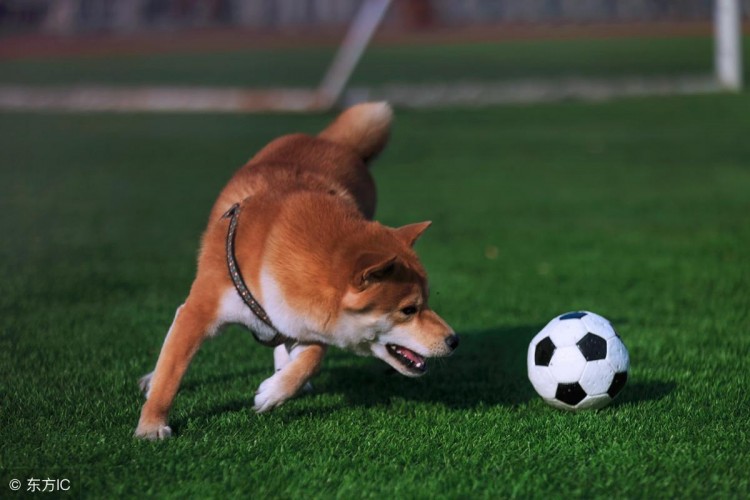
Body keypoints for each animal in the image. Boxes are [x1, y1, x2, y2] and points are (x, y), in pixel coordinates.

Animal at [138, 101, 462, 438]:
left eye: (427, 301)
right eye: (409, 310)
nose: (455, 340)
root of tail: (332, 142)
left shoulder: (310, 320)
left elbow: (314, 357)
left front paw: (276, 390)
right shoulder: (200, 311)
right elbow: (171, 373)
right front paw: (151, 425)